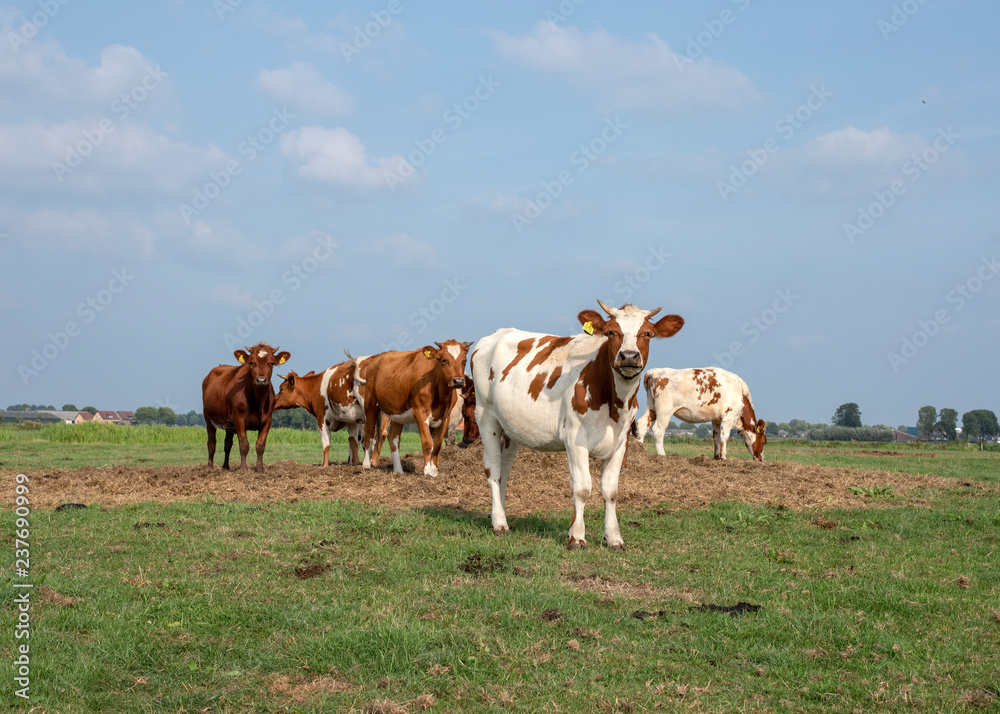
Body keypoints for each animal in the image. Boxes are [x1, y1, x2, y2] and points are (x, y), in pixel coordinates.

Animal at [202, 340, 290, 470]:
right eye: (252, 362)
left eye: (271, 363)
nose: (261, 380)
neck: (259, 400)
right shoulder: (239, 418)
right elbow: (244, 444)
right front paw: (243, 468)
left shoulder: (267, 419)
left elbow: (260, 445)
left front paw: (260, 469)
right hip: (208, 418)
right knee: (211, 442)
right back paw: (210, 467)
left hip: (228, 424)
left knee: (227, 444)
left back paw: (226, 467)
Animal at [360, 338, 472, 476]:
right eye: (444, 360)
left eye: (464, 360)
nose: (458, 381)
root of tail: (377, 358)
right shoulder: (420, 413)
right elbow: (428, 443)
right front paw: (427, 471)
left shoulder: (446, 417)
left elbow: (437, 444)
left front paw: (434, 471)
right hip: (370, 403)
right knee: (369, 432)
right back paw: (366, 465)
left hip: (398, 413)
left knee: (393, 438)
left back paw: (398, 470)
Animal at [472, 298, 684, 548]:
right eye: (611, 332)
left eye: (648, 333)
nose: (629, 356)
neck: (614, 402)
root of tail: (494, 336)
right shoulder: (575, 439)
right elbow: (582, 488)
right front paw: (577, 537)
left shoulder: (621, 442)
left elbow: (610, 490)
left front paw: (614, 537)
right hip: (486, 416)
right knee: (493, 468)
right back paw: (499, 523)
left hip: (511, 428)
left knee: (504, 470)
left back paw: (501, 514)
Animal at [632, 368, 764, 462]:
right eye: (764, 441)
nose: (761, 459)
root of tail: (654, 372)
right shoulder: (728, 416)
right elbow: (724, 436)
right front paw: (724, 458)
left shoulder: (716, 419)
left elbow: (716, 437)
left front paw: (716, 457)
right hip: (664, 411)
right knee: (658, 430)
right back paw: (662, 455)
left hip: (652, 407)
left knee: (642, 424)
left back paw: (639, 450)